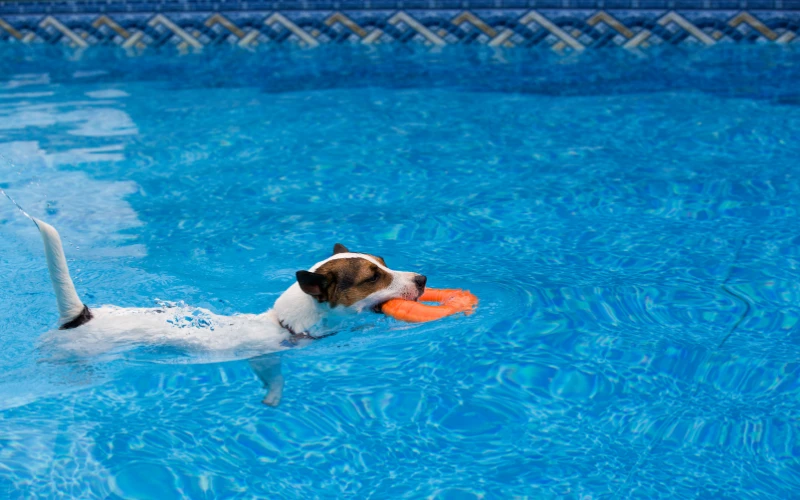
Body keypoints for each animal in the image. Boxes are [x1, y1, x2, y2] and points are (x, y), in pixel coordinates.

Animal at [32, 219, 424, 406]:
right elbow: (275, 379)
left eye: (383, 261)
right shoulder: (264, 359)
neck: (284, 324)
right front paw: (273, 397)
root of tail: (83, 315)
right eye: (372, 277)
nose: (422, 279)